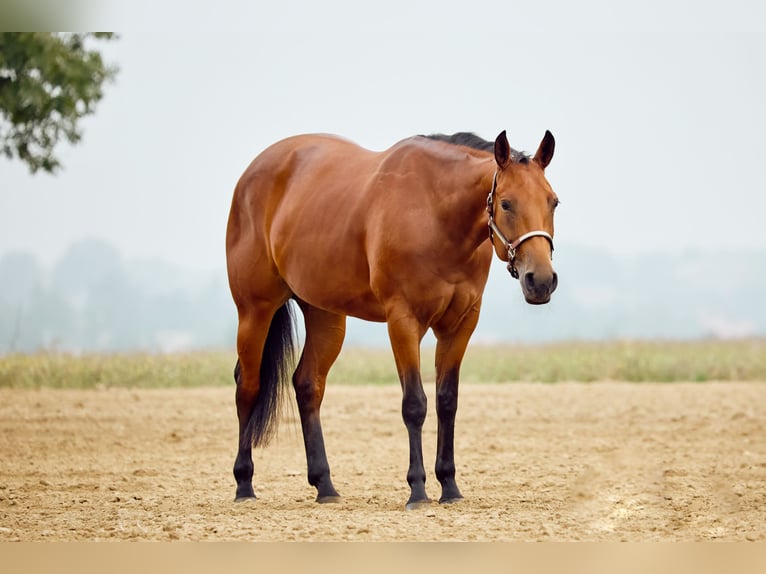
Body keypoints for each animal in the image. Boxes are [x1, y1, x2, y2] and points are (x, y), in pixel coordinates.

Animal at [225, 129, 560, 508]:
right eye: (505, 203)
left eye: (553, 202)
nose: (541, 281)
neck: (435, 212)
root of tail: (252, 175)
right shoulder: (403, 320)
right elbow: (414, 403)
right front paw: (418, 490)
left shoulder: (460, 325)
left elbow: (447, 401)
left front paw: (450, 487)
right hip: (255, 310)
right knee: (247, 387)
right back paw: (244, 485)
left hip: (325, 316)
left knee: (308, 385)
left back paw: (325, 486)